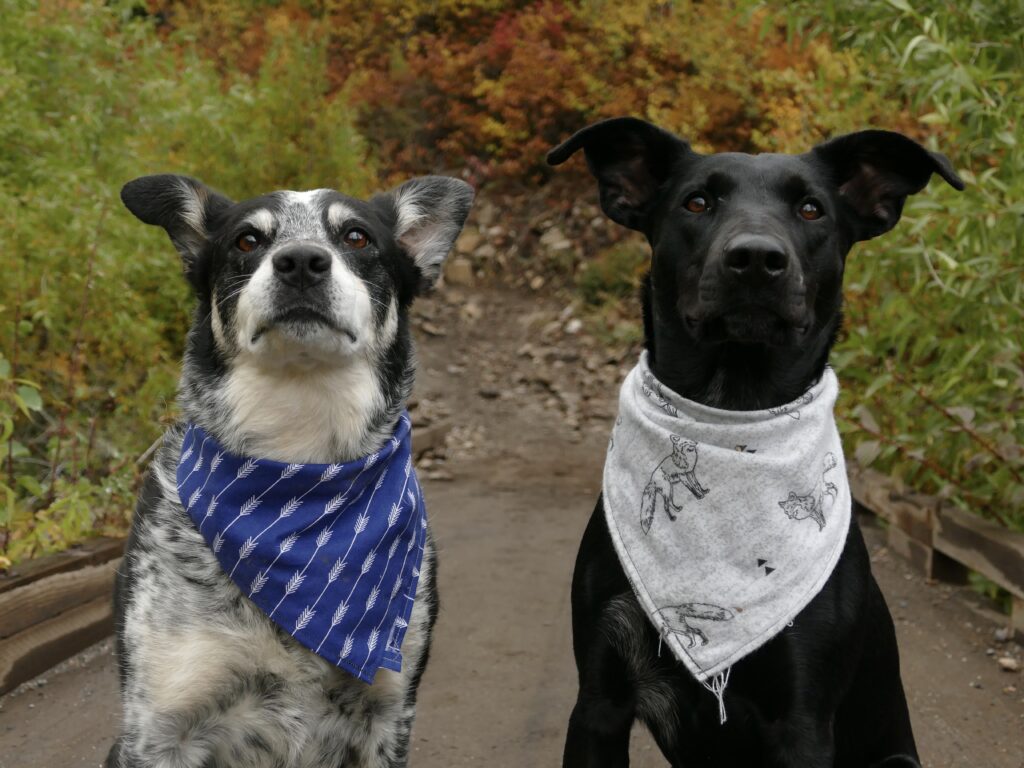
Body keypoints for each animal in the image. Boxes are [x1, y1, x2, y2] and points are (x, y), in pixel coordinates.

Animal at [105, 174, 473, 768]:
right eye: (248, 240)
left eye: (356, 236)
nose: (301, 260)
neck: (300, 472)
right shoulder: (157, 731)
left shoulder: (389, 715)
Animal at [548, 117, 962, 765]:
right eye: (697, 202)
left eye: (812, 209)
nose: (756, 259)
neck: (733, 407)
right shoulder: (599, 701)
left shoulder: (802, 719)